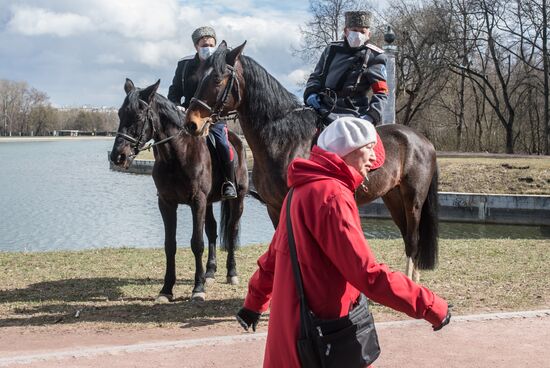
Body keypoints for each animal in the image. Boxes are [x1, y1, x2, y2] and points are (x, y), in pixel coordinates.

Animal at [111, 79, 249, 300]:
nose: (118, 156)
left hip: (238, 199)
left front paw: (198, 288)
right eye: (119, 113)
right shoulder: (167, 203)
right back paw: (210, 272)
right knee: (212, 230)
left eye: (138, 116)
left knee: (231, 230)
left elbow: (197, 243)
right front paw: (166, 289)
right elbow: (170, 245)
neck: (177, 155)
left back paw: (231, 273)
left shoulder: (197, 201)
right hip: (209, 202)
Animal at [184, 42, 440, 278]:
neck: (284, 138)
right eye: (198, 76)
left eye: (217, 79)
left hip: (413, 200)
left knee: (414, 241)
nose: (191, 123)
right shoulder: (274, 208)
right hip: (393, 197)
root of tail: (423, 140)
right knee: (408, 238)